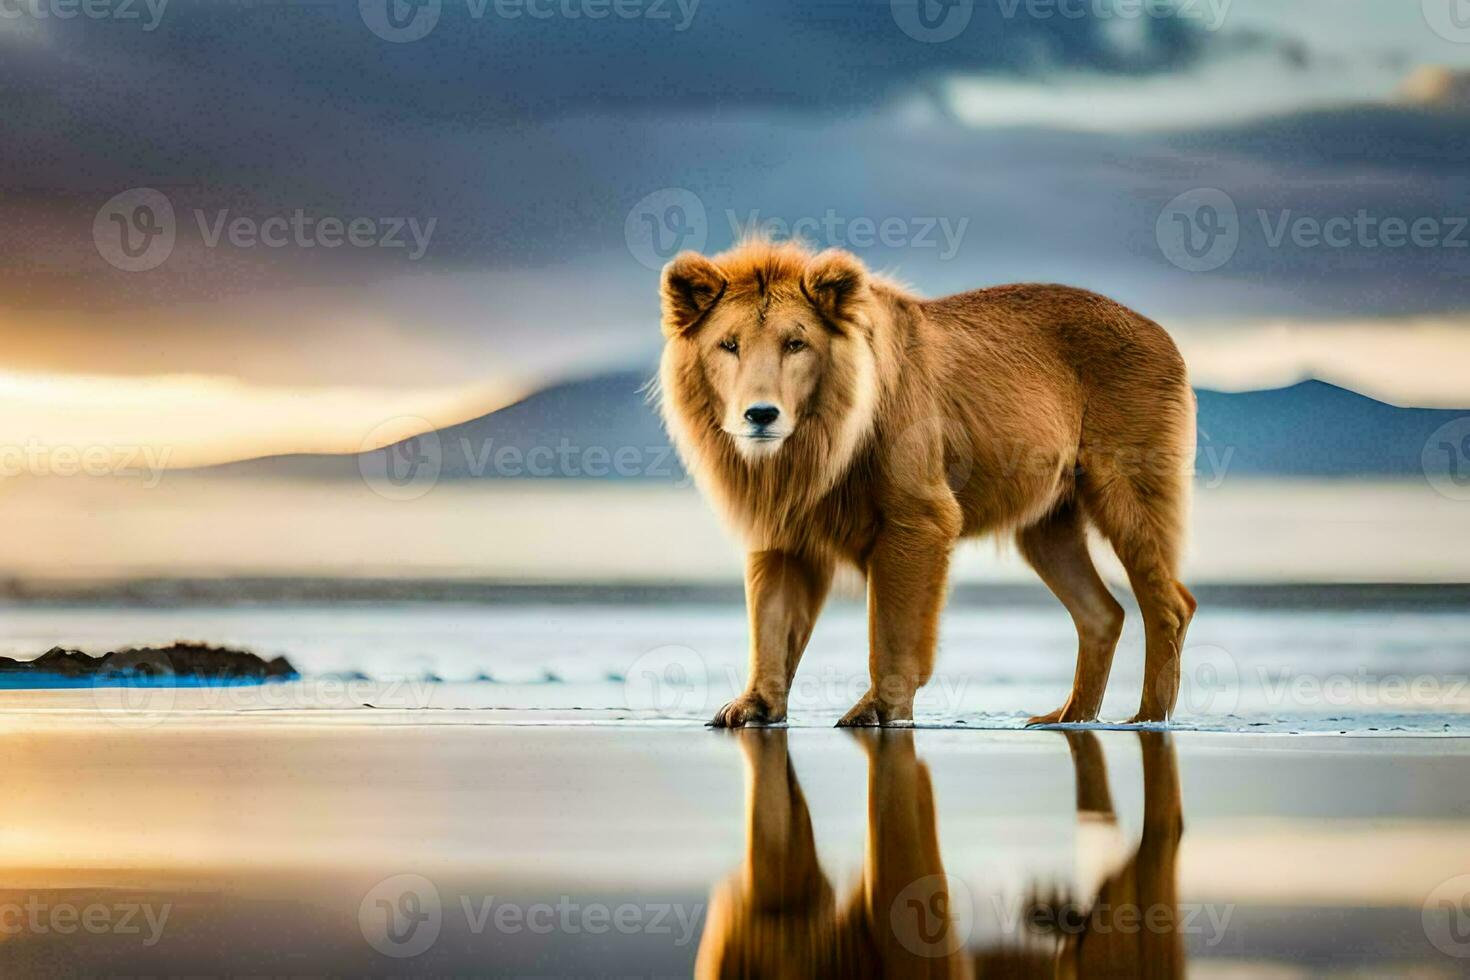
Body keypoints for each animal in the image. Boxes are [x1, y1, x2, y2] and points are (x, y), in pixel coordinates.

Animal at [661, 238, 1199, 728]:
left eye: (796, 343)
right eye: (729, 344)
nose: (760, 414)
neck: (812, 447)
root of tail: (1164, 334)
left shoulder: (919, 515)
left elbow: (893, 628)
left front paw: (878, 710)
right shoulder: (783, 526)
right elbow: (771, 623)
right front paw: (752, 707)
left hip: (1126, 486)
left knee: (1171, 604)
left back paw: (1148, 718)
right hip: (1047, 525)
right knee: (1101, 614)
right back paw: (1067, 717)